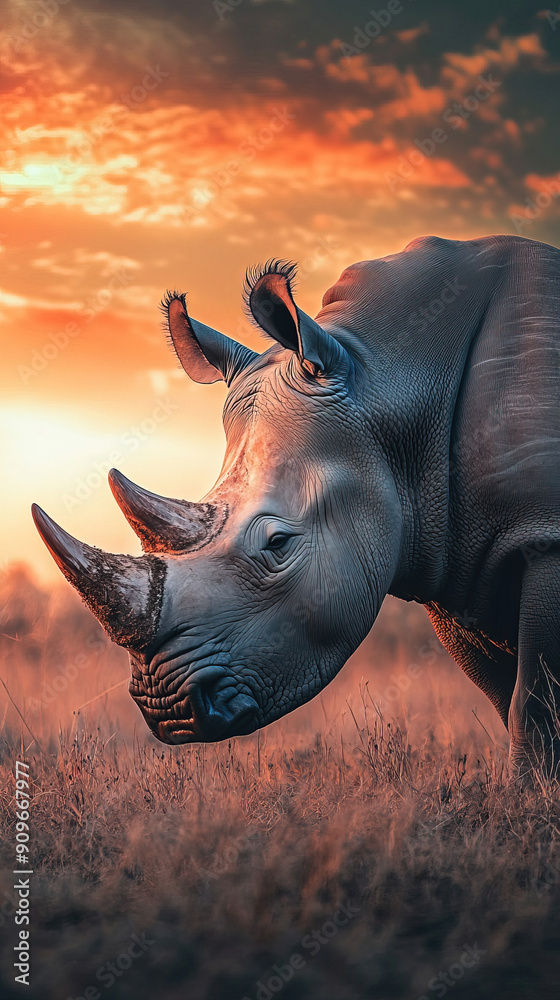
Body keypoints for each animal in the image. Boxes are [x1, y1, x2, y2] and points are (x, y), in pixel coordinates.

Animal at [33, 234, 560, 778]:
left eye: (279, 543)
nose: (170, 711)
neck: (387, 380)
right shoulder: (450, 562)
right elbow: (505, 696)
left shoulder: (545, 538)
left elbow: (532, 701)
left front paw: (527, 793)